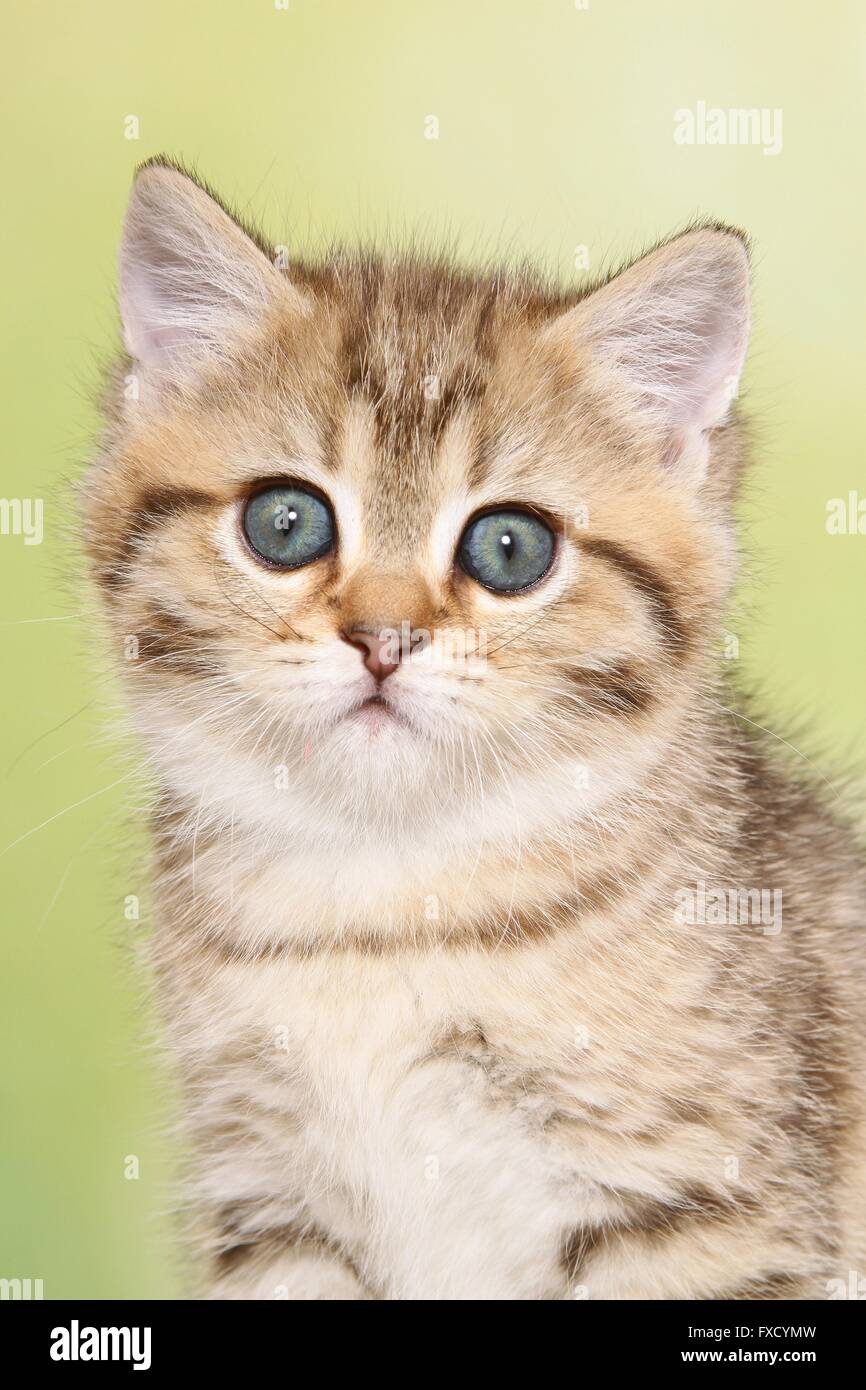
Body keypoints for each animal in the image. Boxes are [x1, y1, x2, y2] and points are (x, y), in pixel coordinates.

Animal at [83, 162, 866, 1301]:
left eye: (508, 547)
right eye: (285, 524)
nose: (383, 638)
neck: (381, 908)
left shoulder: (705, 1210)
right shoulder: (272, 1207)